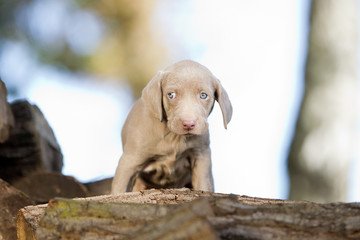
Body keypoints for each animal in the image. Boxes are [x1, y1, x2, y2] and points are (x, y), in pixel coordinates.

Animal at [111, 60, 232, 195]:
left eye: (203, 96)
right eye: (171, 95)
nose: (188, 123)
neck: (173, 137)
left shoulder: (201, 155)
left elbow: (203, 185)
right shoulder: (129, 161)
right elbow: (119, 190)